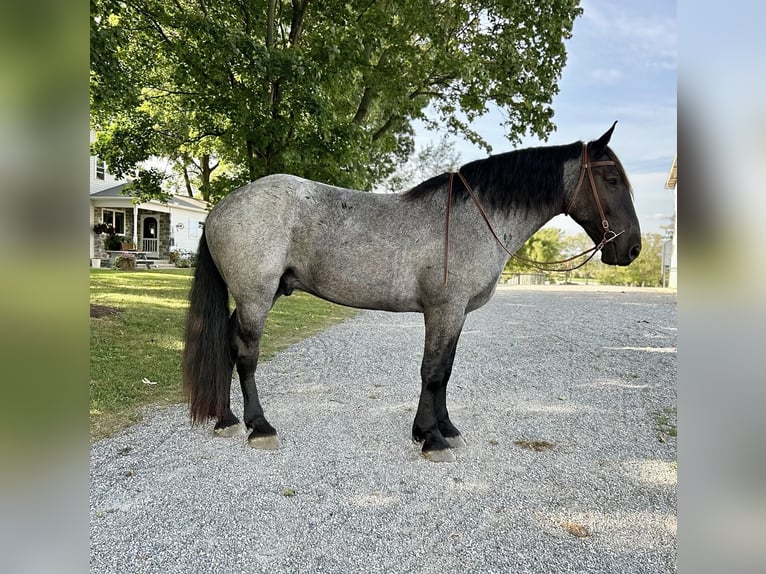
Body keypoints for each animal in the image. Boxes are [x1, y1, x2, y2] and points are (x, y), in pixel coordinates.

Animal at [182, 122, 640, 464]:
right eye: (611, 179)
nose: (632, 248)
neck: (475, 219)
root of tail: (221, 208)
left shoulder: (456, 315)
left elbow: (446, 372)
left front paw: (444, 430)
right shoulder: (443, 310)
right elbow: (432, 372)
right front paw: (430, 438)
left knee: (227, 344)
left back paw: (226, 419)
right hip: (256, 297)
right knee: (245, 354)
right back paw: (259, 427)